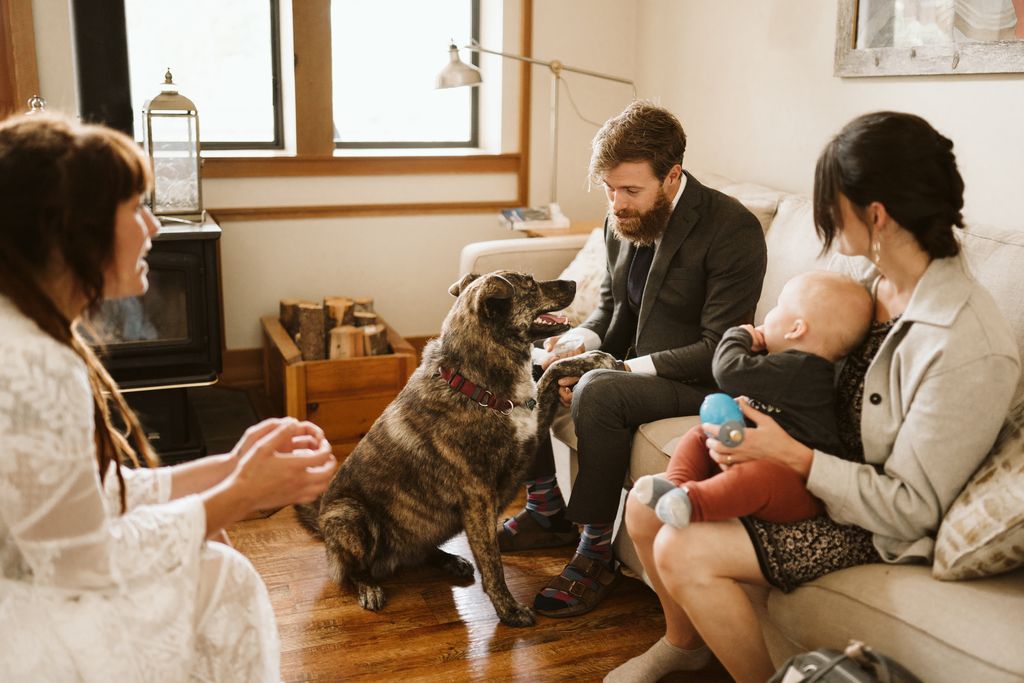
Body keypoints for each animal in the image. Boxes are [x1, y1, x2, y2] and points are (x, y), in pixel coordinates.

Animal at [296, 270, 614, 626]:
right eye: (530, 284)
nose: (573, 282)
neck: (476, 386)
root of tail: (323, 525)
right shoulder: (478, 499)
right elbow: (492, 564)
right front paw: (508, 610)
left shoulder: (531, 425)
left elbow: (551, 372)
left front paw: (594, 358)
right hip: (350, 516)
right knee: (351, 570)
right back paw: (369, 587)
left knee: (421, 551)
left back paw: (449, 559)